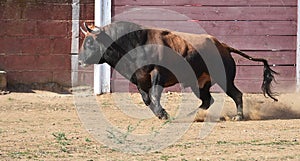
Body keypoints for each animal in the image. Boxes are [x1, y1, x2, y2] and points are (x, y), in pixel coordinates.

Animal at [78, 21, 276, 121]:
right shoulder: (139, 79)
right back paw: (191, 115)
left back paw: (238, 117)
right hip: (200, 84)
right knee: (207, 100)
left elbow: (155, 95)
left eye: (89, 42)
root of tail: (223, 46)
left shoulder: (157, 74)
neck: (135, 44)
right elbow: (147, 99)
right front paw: (160, 114)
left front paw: (163, 113)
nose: (79, 60)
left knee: (236, 94)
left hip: (225, 78)